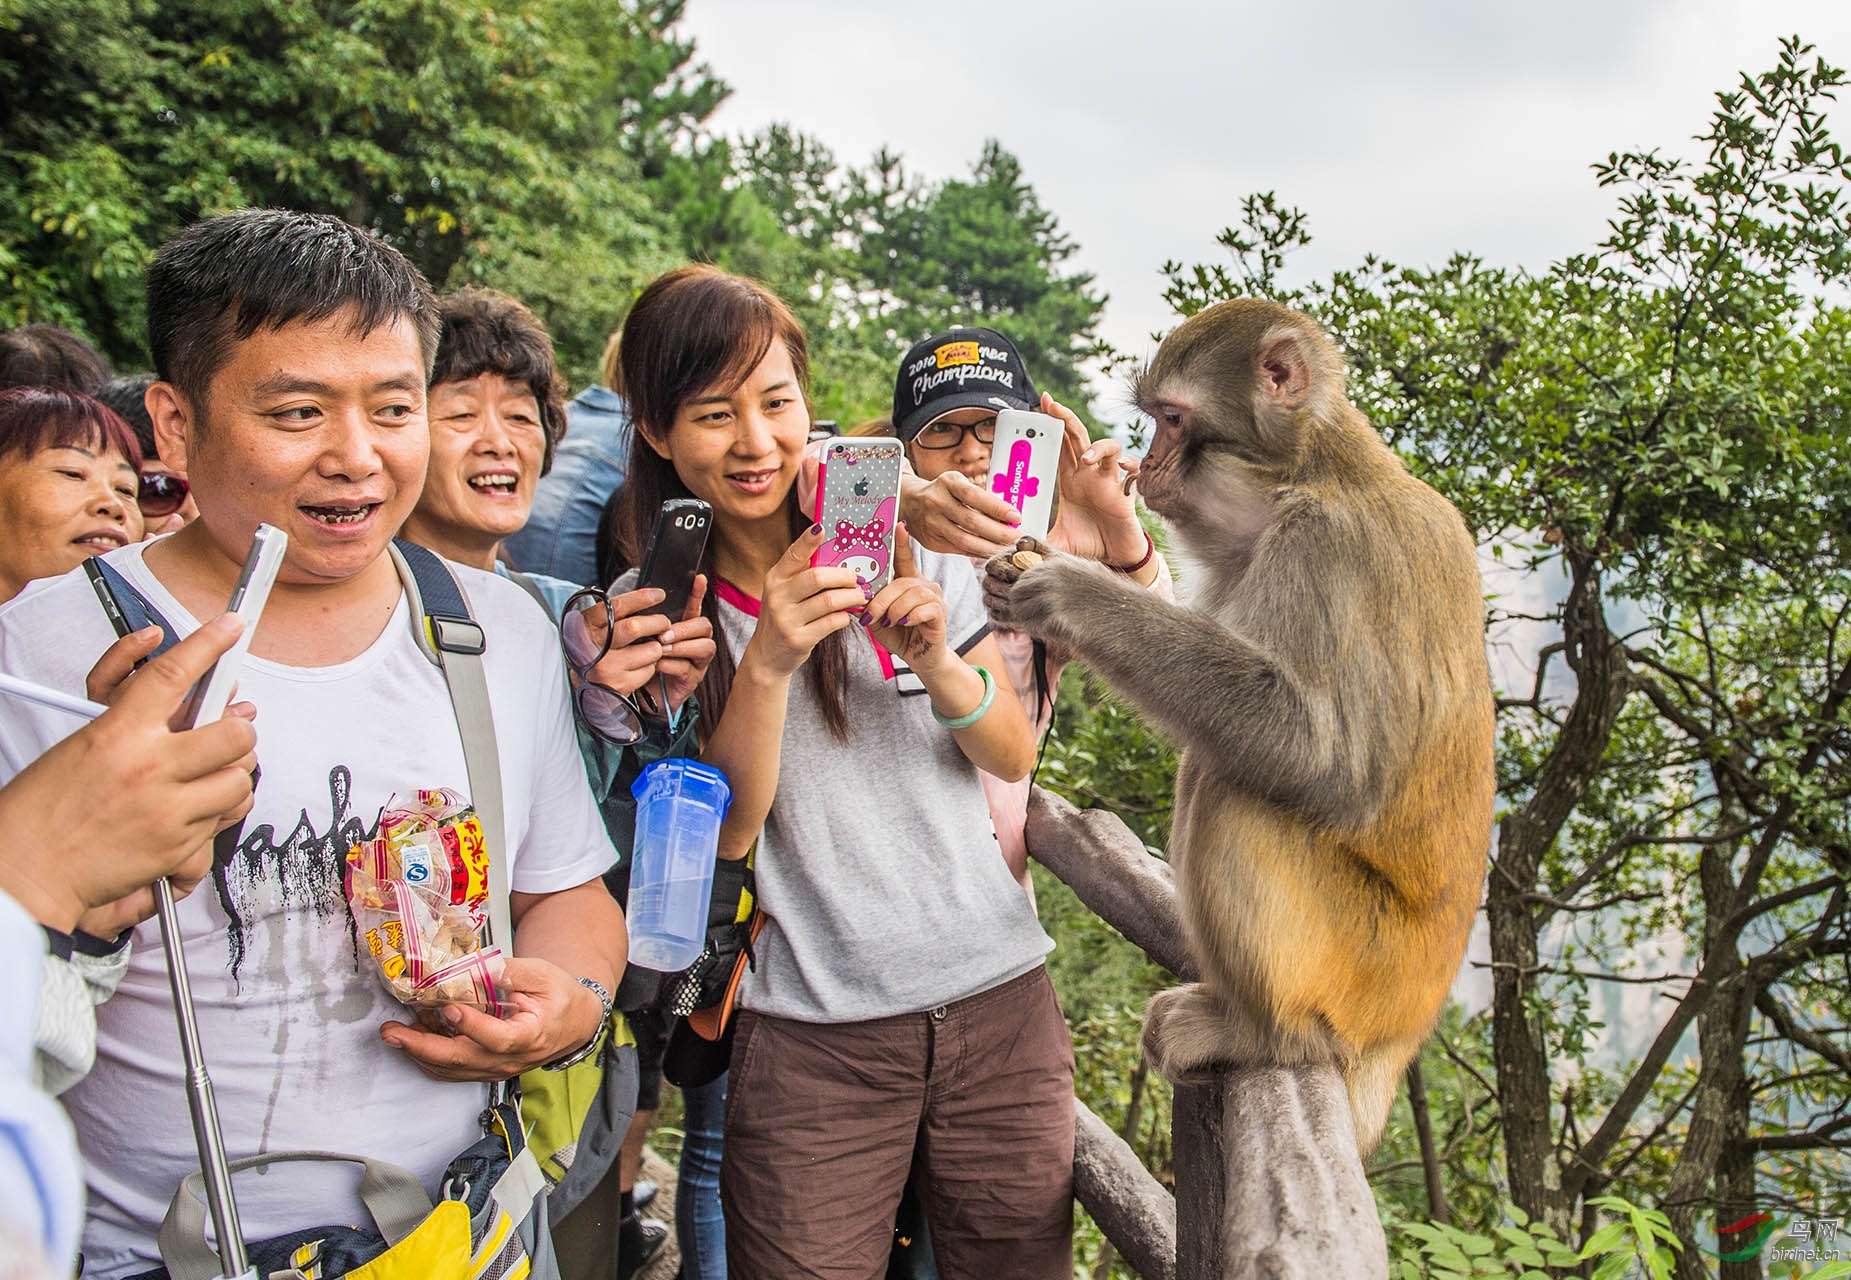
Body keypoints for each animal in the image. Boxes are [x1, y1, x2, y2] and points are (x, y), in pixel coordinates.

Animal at [984, 297, 1488, 1146]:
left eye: (1172, 419)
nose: (1144, 465)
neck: (1308, 475)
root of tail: (1396, 1043)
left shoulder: (1324, 552)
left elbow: (1319, 753)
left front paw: (1071, 591)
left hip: (1356, 971)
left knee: (1231, 784)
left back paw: (1261, 1033)